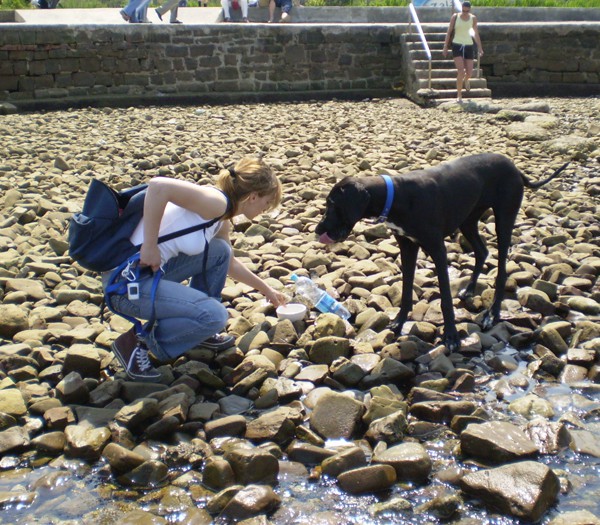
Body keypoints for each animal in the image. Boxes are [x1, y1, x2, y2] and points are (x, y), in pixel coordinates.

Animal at [314, 154, 568, 350]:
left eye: (332, 204)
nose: (317, 230)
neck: (396, 196)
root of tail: (514, 167)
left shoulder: (437, 248)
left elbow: (445, 298)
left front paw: (451, 336)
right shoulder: (407, 246)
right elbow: (406, 289)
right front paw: (399, 321)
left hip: (504, 219)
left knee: (501, 268)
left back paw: (491, 314)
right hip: (468, 220)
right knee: (482, 251)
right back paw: (469, 289)